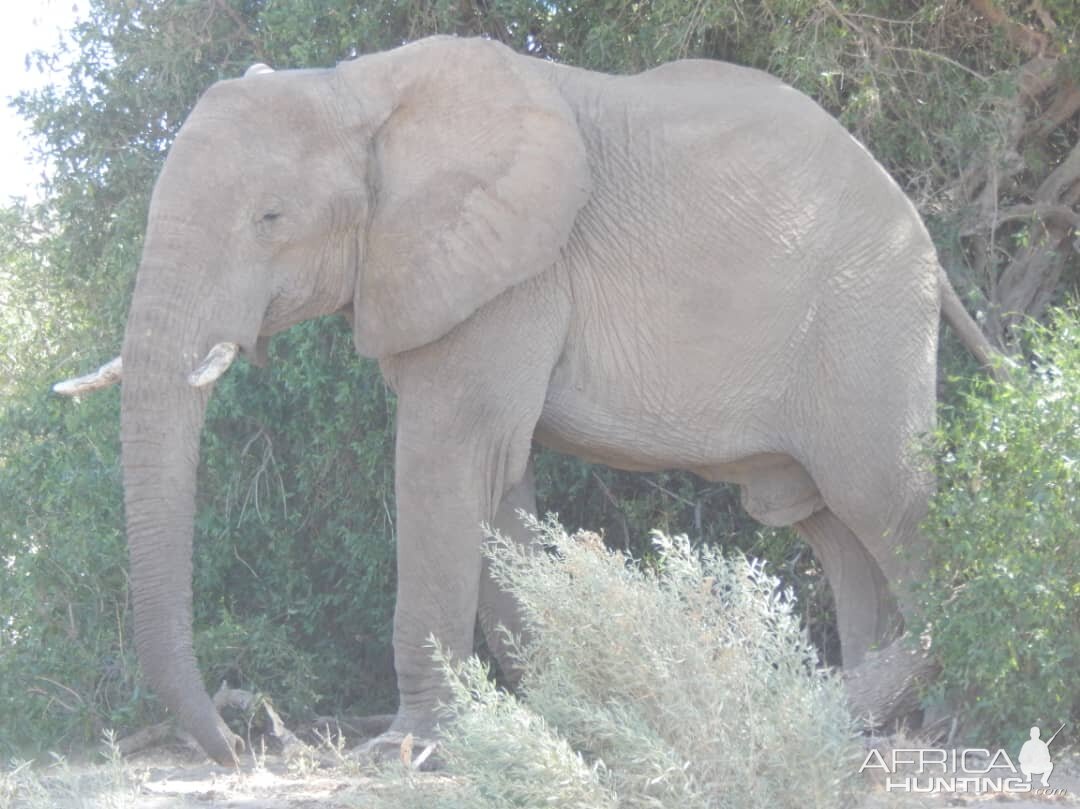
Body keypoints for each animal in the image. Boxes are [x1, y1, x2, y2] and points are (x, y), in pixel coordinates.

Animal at [54, 33, 997, 764]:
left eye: (271, 218)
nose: (243, 744)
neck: (359, 88)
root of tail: (925, 238)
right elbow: (495, 484)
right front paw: (558, 714)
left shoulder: (512, 270)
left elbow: (443, 459)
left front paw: (409, 747)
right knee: (825, 521)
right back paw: (866, 714)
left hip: (866, 316)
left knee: (885, 499)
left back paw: (947, 716)